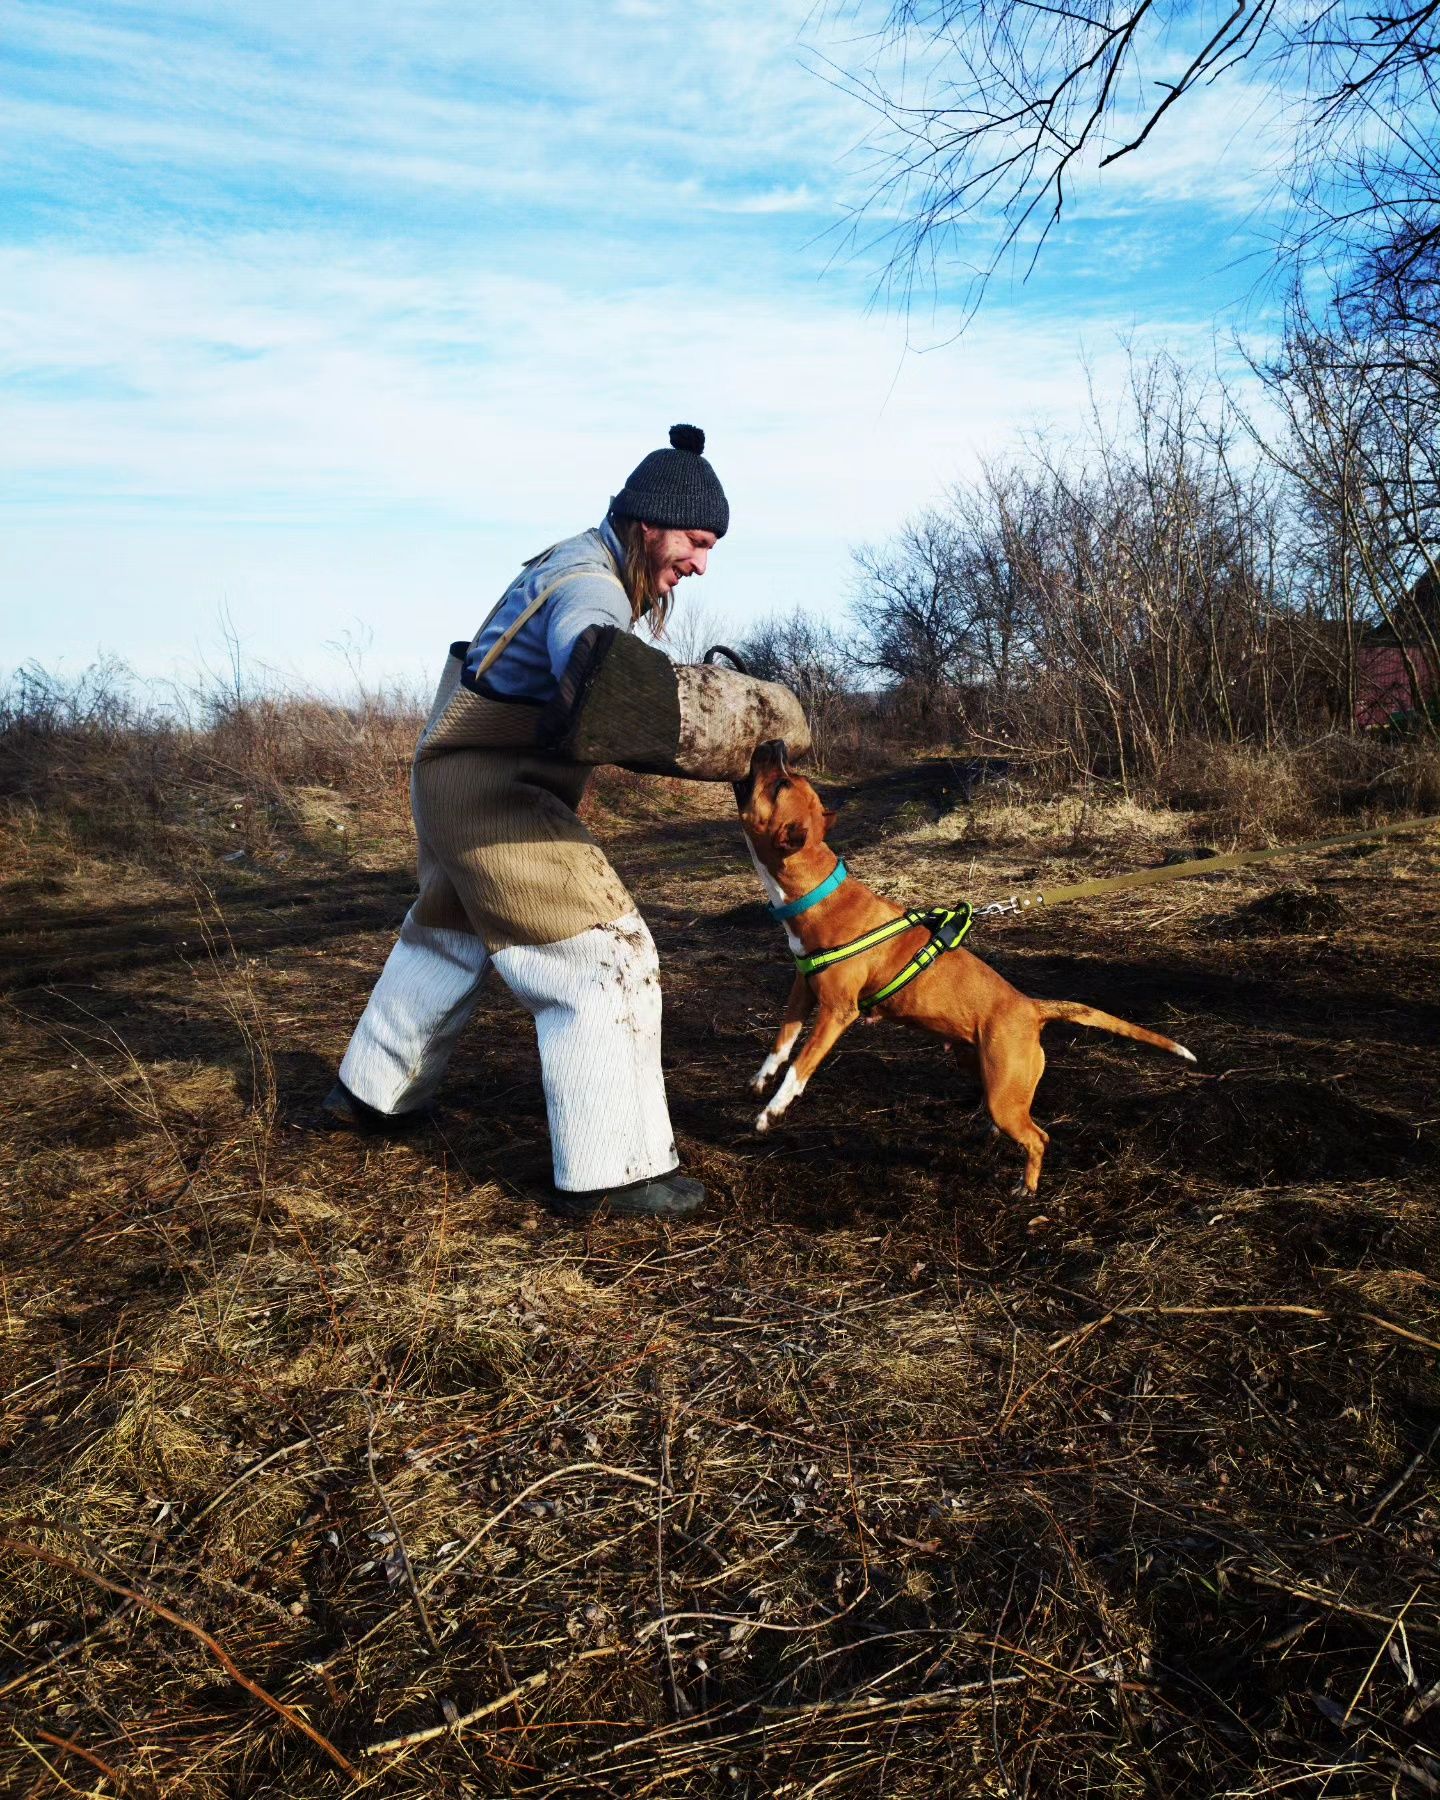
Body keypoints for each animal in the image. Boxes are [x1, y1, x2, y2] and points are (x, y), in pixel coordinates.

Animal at [730, 738, 1195, 1188]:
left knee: (1038, 1137)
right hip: (982, 1070)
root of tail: (1031, 1009)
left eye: (780, 785)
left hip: (1004, 1091)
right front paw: (760, 1080)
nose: (775, 743)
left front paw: (772, 1111)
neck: (817, 893)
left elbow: (800, 1066)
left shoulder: (836, 1013)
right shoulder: (802, 990)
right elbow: (781, 1043)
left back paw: (1026, 1187)